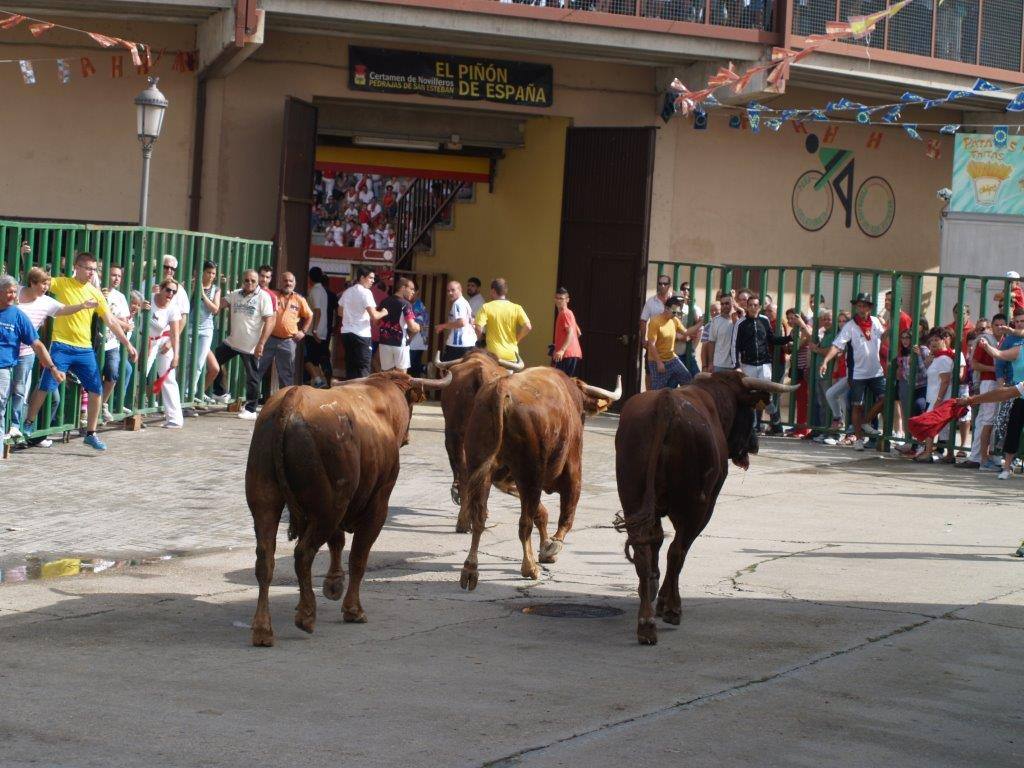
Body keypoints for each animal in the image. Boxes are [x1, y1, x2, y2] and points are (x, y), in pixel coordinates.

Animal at [245, 370, 450, 647]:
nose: (407, 437)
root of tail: (293, 398)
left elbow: (337, 542)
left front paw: (333, 584)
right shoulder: (378, 504)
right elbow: (358, 557)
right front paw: (353, 608)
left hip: (266, 499)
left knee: (265, 558)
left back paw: (263, 629)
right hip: (328, 506)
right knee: (303, 553)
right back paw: (306, 615)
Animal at [460, 366, 618, 589]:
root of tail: (501, 388)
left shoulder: (507, 479)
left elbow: (540, 513)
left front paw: (545, 547)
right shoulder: (572, 470)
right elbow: (566, 515)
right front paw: (552, 546)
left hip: (483, 467)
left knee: (480, 517)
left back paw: (470, 569)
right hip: (531, 473)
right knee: (524, 523)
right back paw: (530, 567)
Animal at [610, 372, 794, 651]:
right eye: (750, 411)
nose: (755, 444)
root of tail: (666, 403)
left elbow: (655, 543)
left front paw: (652, 588)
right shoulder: (706, 505)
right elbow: (675, 549)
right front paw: (664, 602)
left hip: (632, 496)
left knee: (644, 549)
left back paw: (646, 623)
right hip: (695, 506)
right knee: (677, 550)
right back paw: (671, 610)